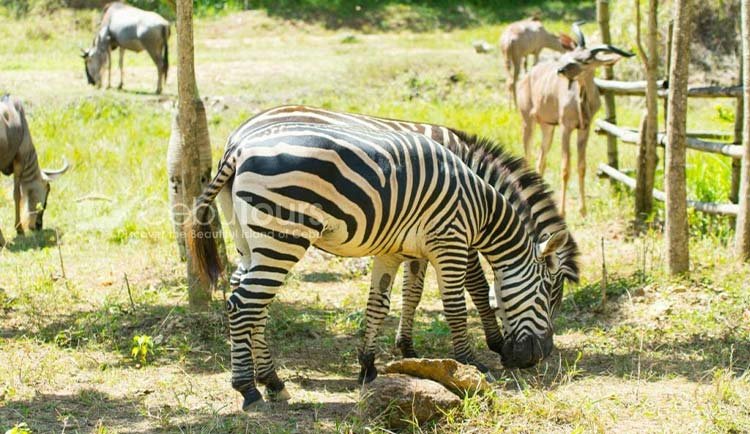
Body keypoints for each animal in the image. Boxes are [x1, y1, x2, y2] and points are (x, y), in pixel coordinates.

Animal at [187, 121, 568, 410]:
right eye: (547, 294)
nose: (540, 356)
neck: (481, 209)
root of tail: (239, 147)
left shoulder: (393, 251)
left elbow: (378, 305)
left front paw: (368, 367)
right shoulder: (451, 242)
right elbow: (459, 304)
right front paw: (470, 362)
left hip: (248, 242)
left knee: (256, 306)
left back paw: (273, 382)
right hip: (282, 236)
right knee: (243, 306)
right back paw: (248, 389)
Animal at [520, 22, 636, 216]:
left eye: (586, 61)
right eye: (571, 55)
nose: (561, 70)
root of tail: (528, 74)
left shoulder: (584, 129)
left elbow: (581, 166)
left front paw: (583, 210)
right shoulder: (565, 128)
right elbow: (565, 167)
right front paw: (562, 211)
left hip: (547, 127)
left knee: (540, 160)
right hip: (528, 120)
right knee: (527, 156)